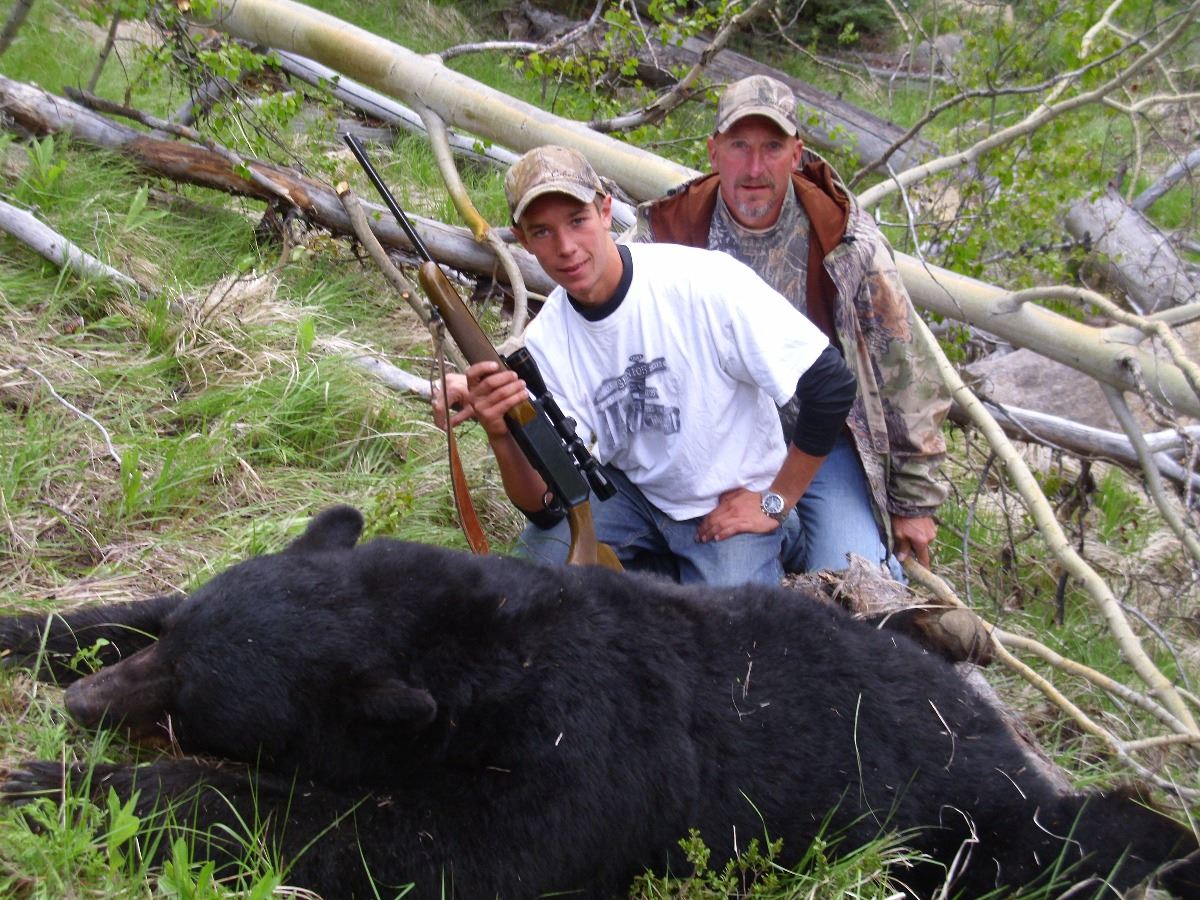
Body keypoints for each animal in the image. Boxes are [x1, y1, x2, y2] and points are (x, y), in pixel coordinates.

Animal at [1, 505, 1197, 898]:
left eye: (194, 698)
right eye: (181, 651)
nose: (83, 708)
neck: (468, 648)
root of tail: (1008, 739)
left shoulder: (576, 762)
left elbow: (401, 848)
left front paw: (45, 782)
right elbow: (126, 606)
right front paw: (37, 630)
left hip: (970, 827)